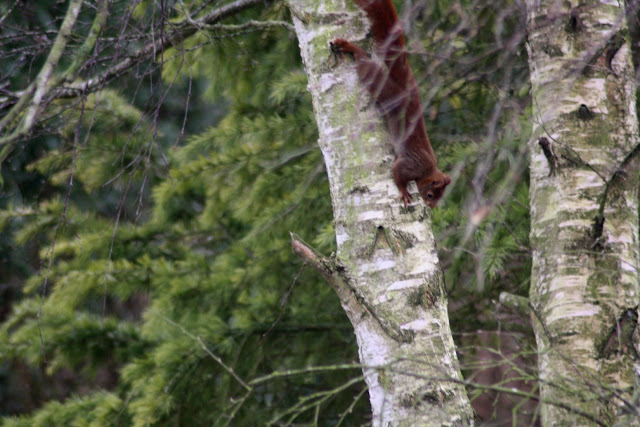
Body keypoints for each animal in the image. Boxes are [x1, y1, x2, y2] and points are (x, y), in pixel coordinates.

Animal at [330, 0, 450, 208]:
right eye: (430, 195)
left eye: (440, 197)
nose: (431, 207)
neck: (427, 171)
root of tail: (407, 87)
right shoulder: (410, 165)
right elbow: (397, 173)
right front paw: (404, 192)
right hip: (384, 88)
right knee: (365, 64)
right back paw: (349, 47)